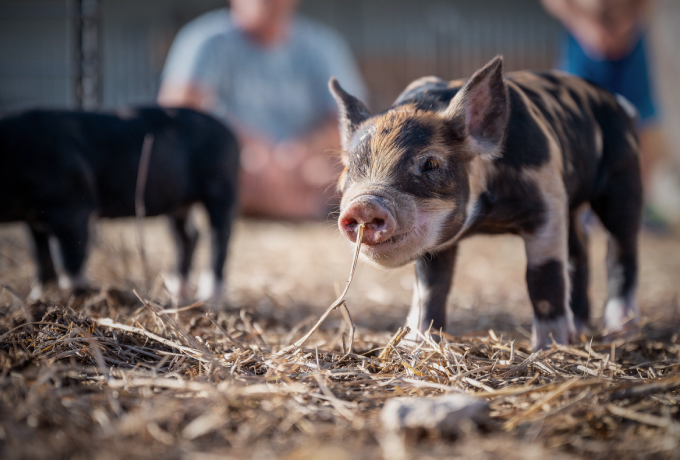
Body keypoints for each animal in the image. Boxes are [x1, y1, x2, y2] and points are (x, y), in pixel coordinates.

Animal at [0, 106, 239, 300]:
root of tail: (228, 131)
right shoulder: (34, 220)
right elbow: (41, 258)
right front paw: (37, 298)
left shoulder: (73, 205)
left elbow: (69, 258)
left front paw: (77, 296)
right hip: (179, 204)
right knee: (189, 235)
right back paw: (176, 291)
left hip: (221, 187)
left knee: (219, 235)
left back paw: (209, 296)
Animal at [330, 56, 644, 348]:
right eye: (348, 168)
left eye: (431, 164)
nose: (364, 205)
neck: (487, 218)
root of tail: (620, 104)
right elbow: (430, 288)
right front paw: (417, 343)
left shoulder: (548, 204)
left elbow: (543, 276)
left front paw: (547, 348)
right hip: (574, 205)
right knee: (579, 253)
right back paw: (579, 330)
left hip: (623, 179)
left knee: (620, 251)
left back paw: (620, 331)